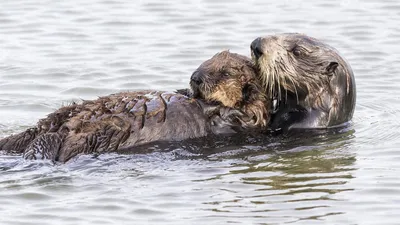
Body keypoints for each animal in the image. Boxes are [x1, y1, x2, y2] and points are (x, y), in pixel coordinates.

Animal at [0, 50, 268, 162]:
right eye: (207, 61)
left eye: (225, 72)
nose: (195, 77)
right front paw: (183, 91)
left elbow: (231, 115)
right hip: (65, 118)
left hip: (100, 132)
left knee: (62, 145)